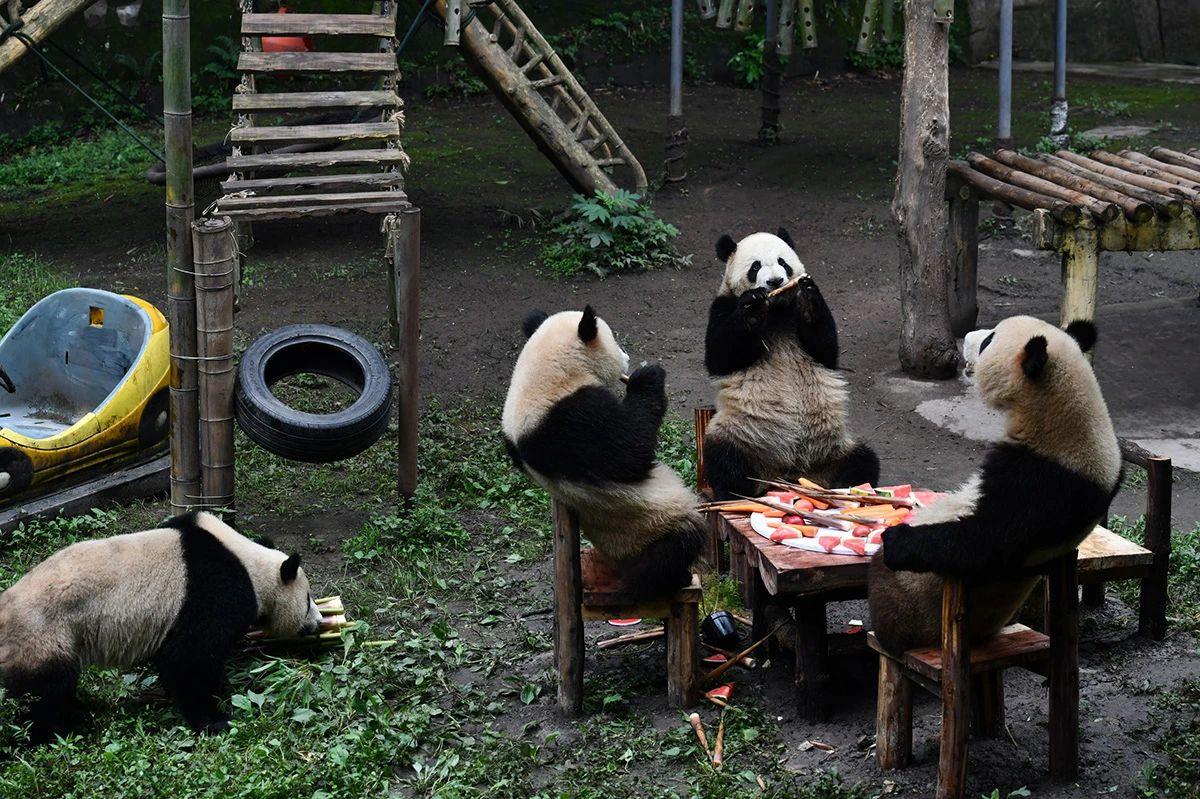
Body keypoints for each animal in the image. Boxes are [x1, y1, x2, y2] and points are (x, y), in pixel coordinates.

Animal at [0, 511, 322, 741]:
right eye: (307, 600)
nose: (318, 623)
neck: (247, 561)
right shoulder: (212, 589)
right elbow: (189, 658)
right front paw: (215, 720)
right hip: (43, 636)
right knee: (47, 693)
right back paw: (57, 729)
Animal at [502, 306, 706, 599]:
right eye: (615, 341)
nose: (627, 357)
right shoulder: (570, 419)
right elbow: (631, 451)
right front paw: (647, 376)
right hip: (649, 527)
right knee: (676, 547)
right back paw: (672, 578)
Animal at [703, 228, 879, 500]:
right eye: (755, 266)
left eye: (782, 262)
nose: (775, 281)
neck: (776, 309)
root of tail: (786, 473)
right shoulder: (723, 305)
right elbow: (720, 356)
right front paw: (752, 306)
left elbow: (826, 349)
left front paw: (809, 297)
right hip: (743, 434)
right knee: (724, 459)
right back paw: (734, 494)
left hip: (832, 448)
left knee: (863, 460)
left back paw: (847, 488)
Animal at [868, 316, 1121, 654]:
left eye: (989, 341)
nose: (966, 339)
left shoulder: (1043, 484)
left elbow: (984, 540)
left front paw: (896, 538)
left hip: (912, 599)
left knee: (887, 589)